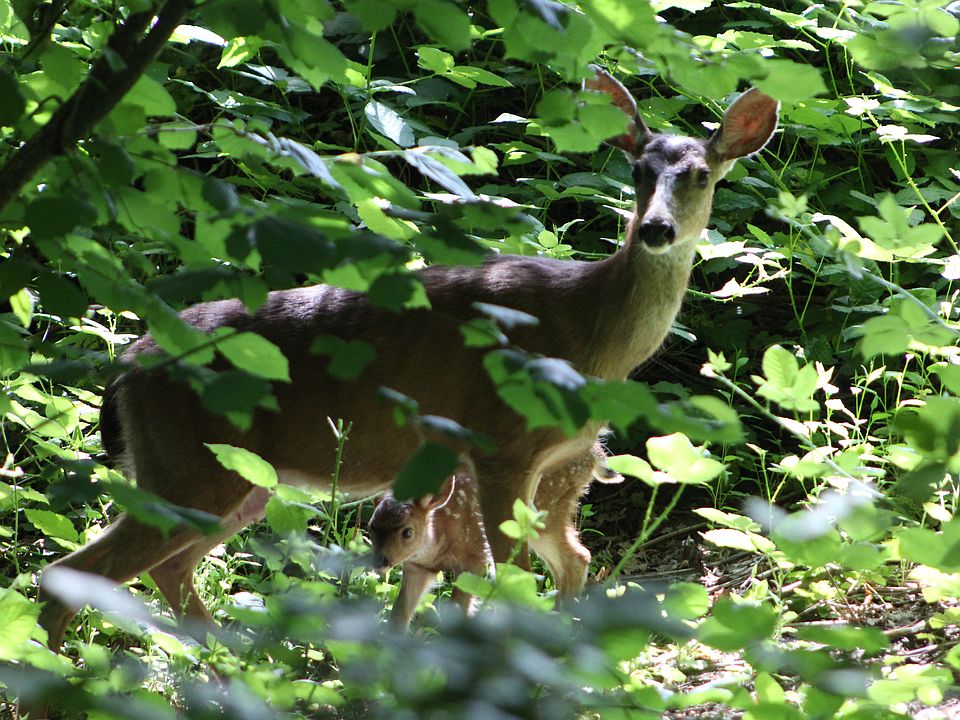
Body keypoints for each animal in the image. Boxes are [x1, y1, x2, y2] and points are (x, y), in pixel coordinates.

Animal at [369, 443, 623, 630]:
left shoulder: (474, 556)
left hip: (544, 511)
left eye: (407, 531)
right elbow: (399, 615)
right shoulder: (418, 566)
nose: (380, 561)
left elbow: (457, 609)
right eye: (372, 527)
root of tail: (595, 451)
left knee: (577, 557)